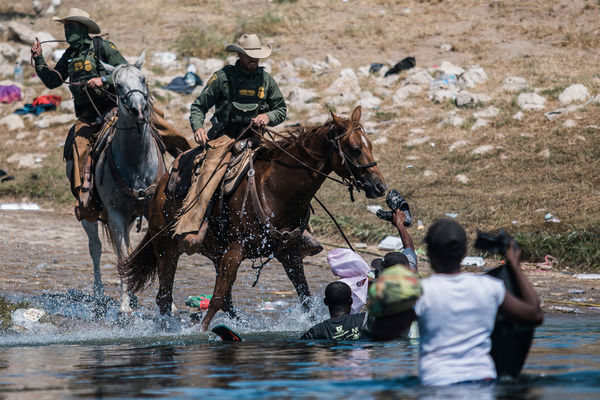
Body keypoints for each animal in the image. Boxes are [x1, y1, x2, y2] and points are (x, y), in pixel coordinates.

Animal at [78, 52, 166, 312]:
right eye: (118, 86)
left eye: (143, 79)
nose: (139, 110)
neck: (137, 164)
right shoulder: (115, 215)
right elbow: (122, 258)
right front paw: (124, 306)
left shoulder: (152, 211)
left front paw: (169, 306)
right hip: (89, 214)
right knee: (96, 248)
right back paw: (100, 295)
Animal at [123, 104, 384, 330]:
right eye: (355, 149)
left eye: (370, 145)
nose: (379, 186)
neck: (276, 189)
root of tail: (159, 187)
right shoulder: (235, 250)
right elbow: (216, 298)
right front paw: (201, 331)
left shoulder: (288, 252)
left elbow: (305, 296)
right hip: (166, 249)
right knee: (164, 297)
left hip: (215, 253)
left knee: (225, 301)